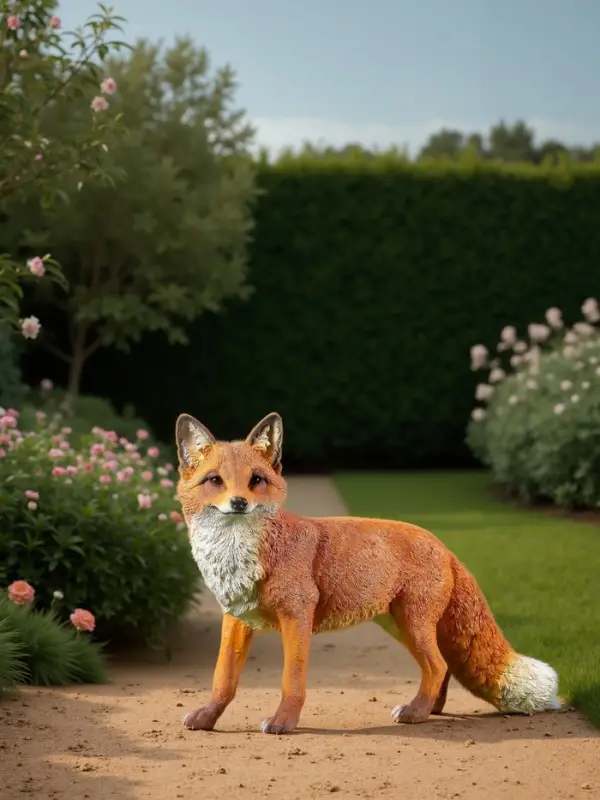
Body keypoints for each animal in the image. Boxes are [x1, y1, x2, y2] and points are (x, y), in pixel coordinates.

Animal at [175, 411, 561, 735]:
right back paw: (431, 709)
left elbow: (292, 681)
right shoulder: (236, 619)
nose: (239, 503)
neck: (242, 556)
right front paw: (208, 718)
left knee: (437, 666)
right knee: (442, 666)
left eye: (256, 480)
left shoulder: (297, 616)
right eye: (215, 480)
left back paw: (417, 712)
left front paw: (284, 722)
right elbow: (223, 679)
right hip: (402, 627)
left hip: (413, 624)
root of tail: (443, 545)